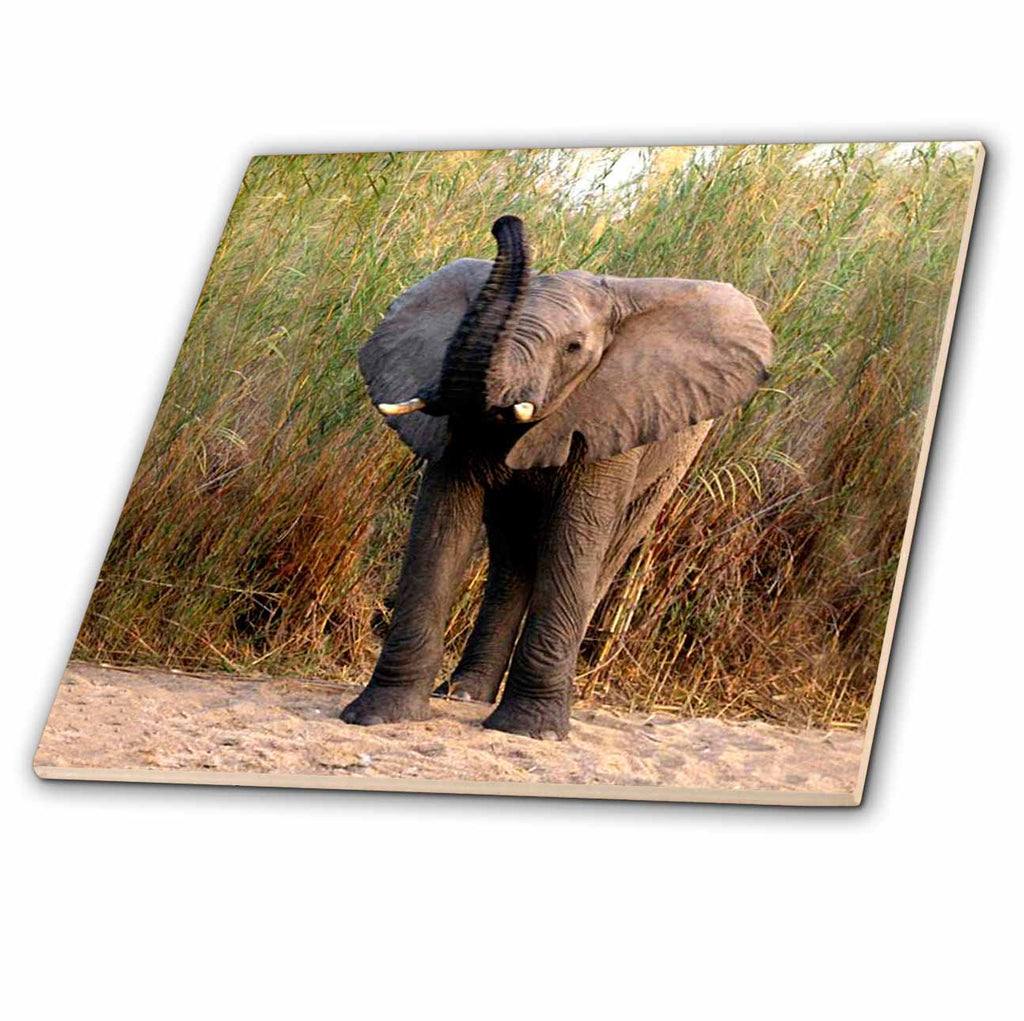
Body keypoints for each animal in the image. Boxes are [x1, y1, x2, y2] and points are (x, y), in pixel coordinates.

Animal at [341, 215, 773, 740]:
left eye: (573, 348)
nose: (506, 223)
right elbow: (441, 530)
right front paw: (376, 715)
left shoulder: (611, 411)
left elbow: (575, 538)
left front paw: (531, 731)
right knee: (512, 554)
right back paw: (463, 693)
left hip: (677, 455)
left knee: (611, 548)